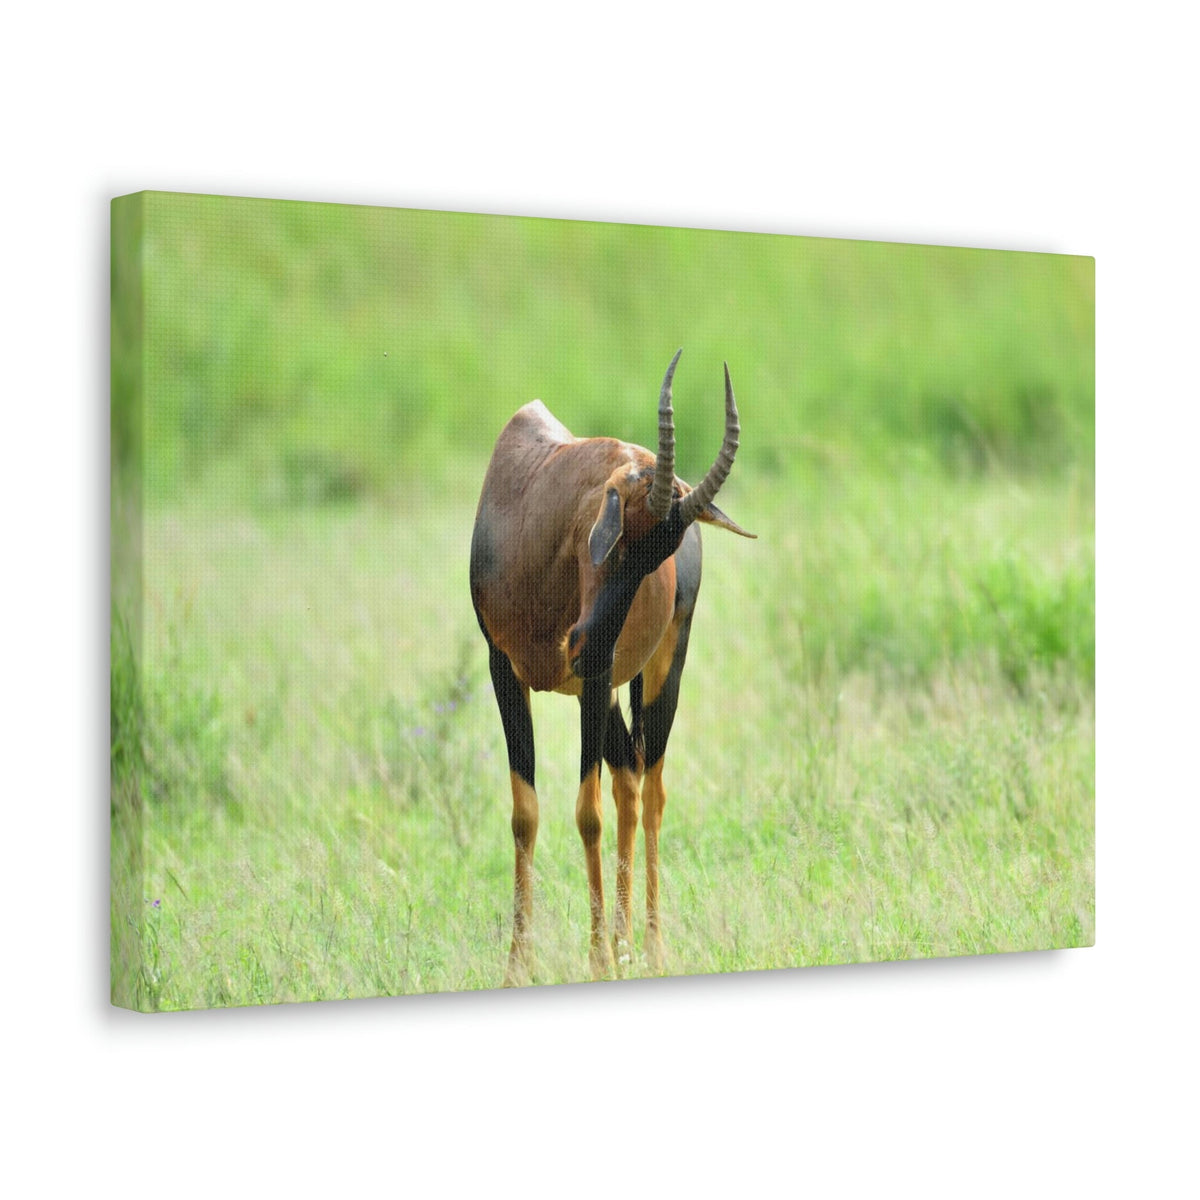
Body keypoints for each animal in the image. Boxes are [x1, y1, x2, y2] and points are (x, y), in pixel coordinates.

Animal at [470, 351, 753, 985]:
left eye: (661, 556)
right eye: (620, 532)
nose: (583, 645)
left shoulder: (595, 683)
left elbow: (586, 814)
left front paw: (597, 961)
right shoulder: (505, 669)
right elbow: (525, 813)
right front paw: (519, 967)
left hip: (657, 671)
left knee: (651, 789)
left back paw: (648, 948)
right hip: (602, 694)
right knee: (627, 779)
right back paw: (625, 945)